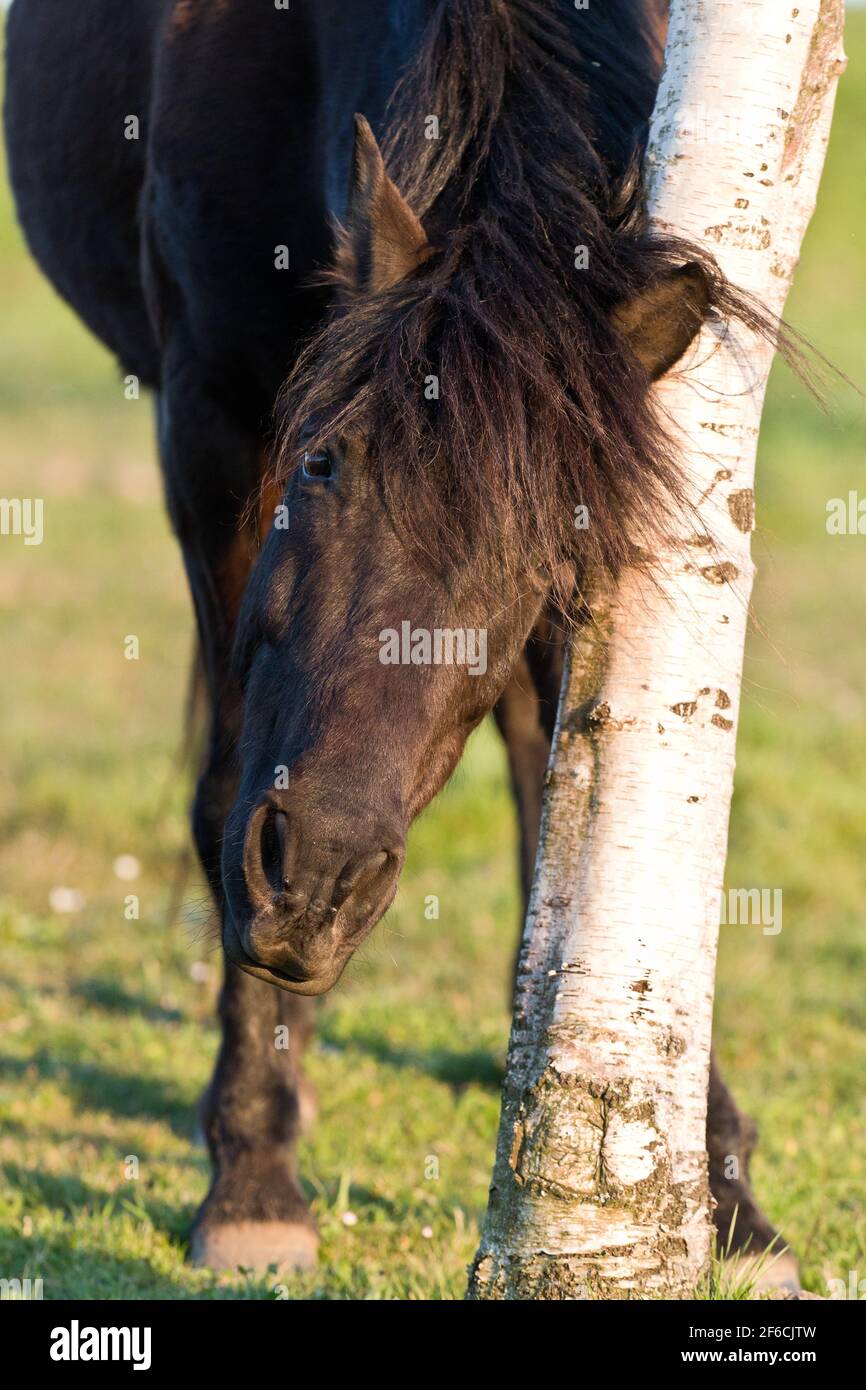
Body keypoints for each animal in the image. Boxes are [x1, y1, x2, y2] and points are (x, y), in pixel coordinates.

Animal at [4, 0, 795, 1290]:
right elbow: (223, 783)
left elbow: (592, 808)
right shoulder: (214, 422)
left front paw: (719, 1185)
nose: (315, 883)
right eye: (321, 463)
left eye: (542, 552)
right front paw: (254, 1173)